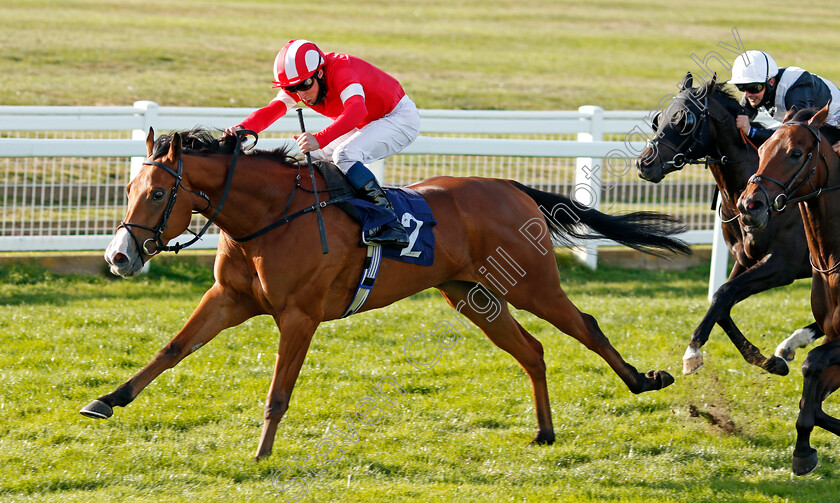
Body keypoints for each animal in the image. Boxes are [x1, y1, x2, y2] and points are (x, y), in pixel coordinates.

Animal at [82, 127, 692, 460]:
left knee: (584, 325)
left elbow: (279, 392)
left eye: (156, 193)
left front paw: (262, 452)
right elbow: (171, 349)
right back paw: (544, 431)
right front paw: (106, 400)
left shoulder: (299, 316)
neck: (271, 216)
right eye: (130, 187)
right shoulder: (229, 299)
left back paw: (644, 380)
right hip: (471, 295)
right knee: (531, 350)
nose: (119, 257)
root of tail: (511, 186)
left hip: (533, 284)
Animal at [636, 73, 820, 376]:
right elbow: (721, 301)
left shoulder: (782, 265)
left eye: (683, 120)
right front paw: (768, 361)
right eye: (658, 119)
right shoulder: (745, 259)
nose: (644, 164)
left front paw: (692, 353)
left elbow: (723, 293)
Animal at [740, 103, 840, 476]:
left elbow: (812, 364)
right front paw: (804, 449)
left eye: (796, 153)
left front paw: (802, 449)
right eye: (761, 151)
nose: (749, 206)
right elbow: (812, 403)